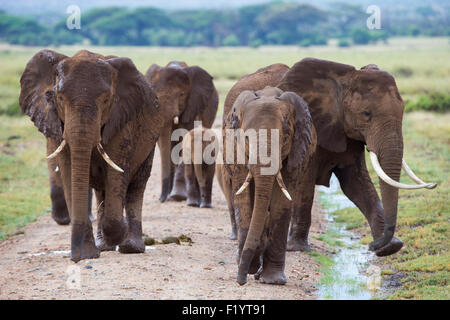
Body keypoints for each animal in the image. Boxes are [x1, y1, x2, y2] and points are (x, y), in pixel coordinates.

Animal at [19, 48, 163, 262]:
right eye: (59, 98)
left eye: (106, 100)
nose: (78, 257)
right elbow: (70, 172)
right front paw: (85, 256)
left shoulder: (122, 121)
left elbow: (118, 172)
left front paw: (116, 233)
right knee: (102, 190)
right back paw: (105, 246)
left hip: (150, 139)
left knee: (136, 186)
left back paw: (131, 247)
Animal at [145, 61, 219, 204]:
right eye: (154, 94)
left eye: (182, 94)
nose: (161, 199)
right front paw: (171, 197)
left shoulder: (192, 105)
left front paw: (177, 197)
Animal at [222, 85, 316, 284]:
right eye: (247, 139)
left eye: (285, 139)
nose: (241, 281)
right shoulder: (237, 151)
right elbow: (244, 201)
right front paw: (249, 268)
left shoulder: (295, 154)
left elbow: (281, 203)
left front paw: (273, 280)